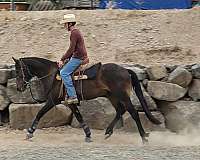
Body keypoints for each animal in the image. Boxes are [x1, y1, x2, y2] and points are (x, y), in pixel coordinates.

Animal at [12, 57, 161, 143]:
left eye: (19, 70)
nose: (19, 87)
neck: (53, 76)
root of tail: (125, 70)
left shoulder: (53, 100)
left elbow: (40, 113)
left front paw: (30, 132)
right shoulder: (70, 103)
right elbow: (79, 117)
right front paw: (88, 134)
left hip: (122, 96)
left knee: (133, 112)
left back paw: (144, 137)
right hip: (112, 96)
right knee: (120, 110)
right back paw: (108, 132)